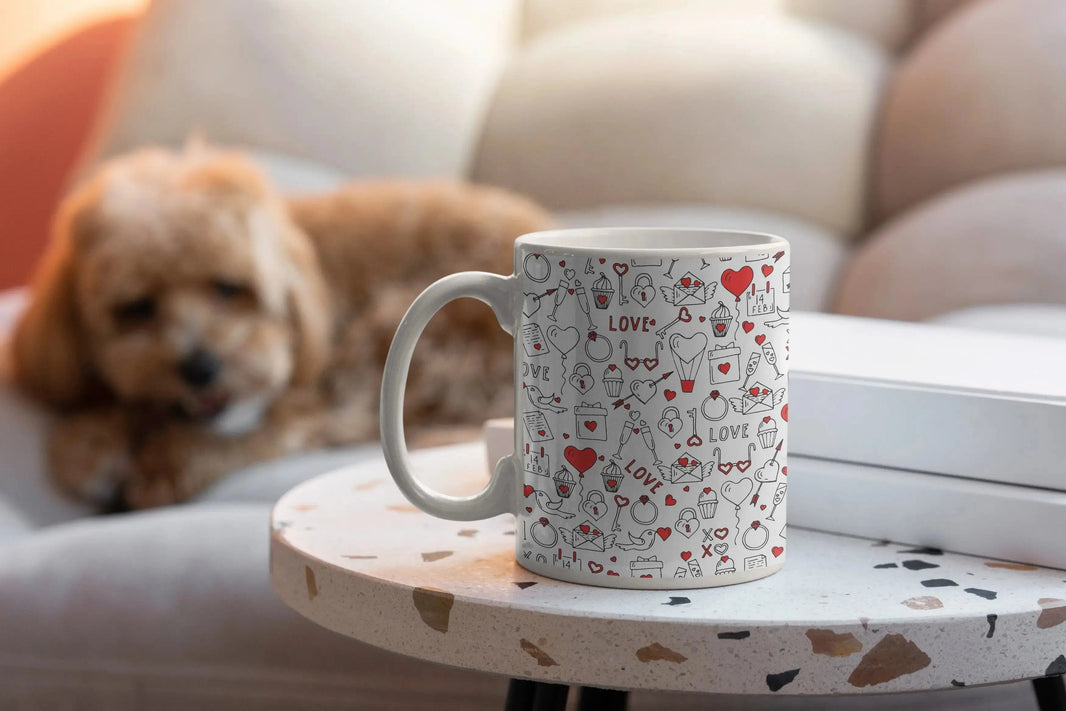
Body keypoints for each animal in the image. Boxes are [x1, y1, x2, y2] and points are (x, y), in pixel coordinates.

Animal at [12, 147, 550, 509]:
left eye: (229, 287)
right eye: (137, 307)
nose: (200, 367)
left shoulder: (302, 395)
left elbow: (255, 432)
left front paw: (163, 464)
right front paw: (89, 442)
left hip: (396, 326)